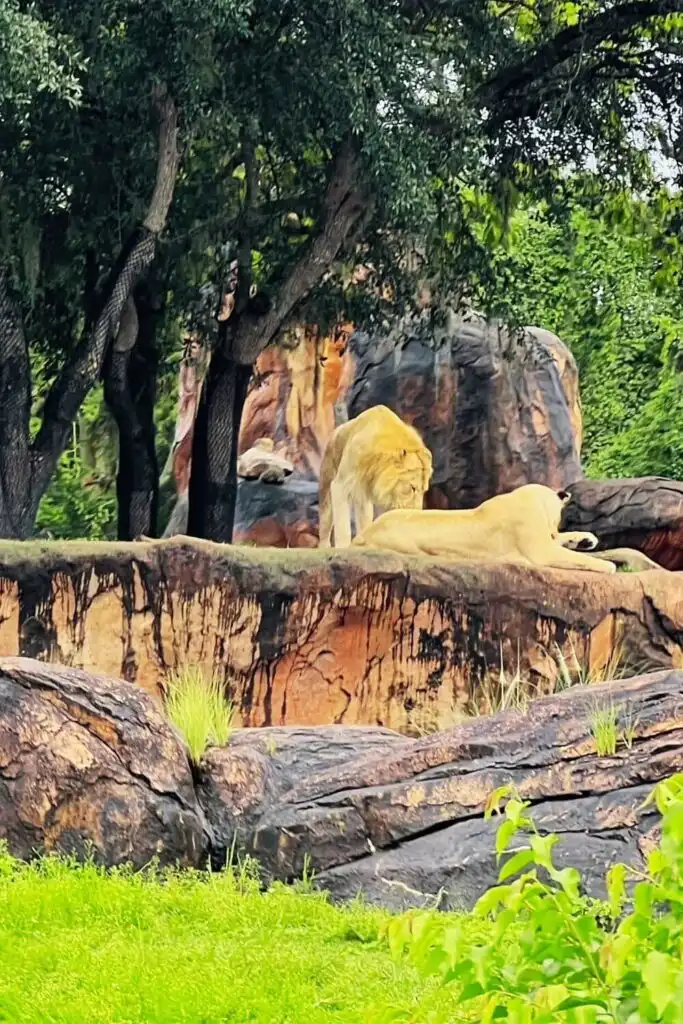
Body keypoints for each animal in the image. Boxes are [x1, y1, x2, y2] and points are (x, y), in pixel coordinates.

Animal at [318, 405, 433, 548]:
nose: (415, 514)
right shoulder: (340, 485)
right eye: (412, 488)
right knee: (324, 529)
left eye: (424, 490)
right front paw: (343, 548)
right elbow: (343, 526)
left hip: (363, 500)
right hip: (327, 492)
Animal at [351, 483, 617, 573]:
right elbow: (549, 551)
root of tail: (363, 534)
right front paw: (610, 566)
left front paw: (586, 539)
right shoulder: (528, 531)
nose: (554, 529)